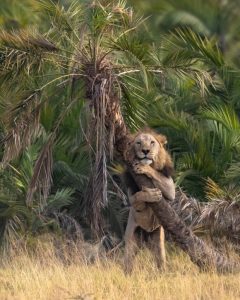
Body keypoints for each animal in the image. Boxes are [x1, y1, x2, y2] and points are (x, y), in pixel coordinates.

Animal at [123, 127, 175, 274]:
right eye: (138, 143)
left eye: (152, 142)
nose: (145, 151)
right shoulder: (132, 197)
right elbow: (139, 195)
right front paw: (151, 194)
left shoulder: (171, 189)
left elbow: (156, 174)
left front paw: (144, 167)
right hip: (131, 241)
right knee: (128, 263)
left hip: (158, 242)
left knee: (160, 261)